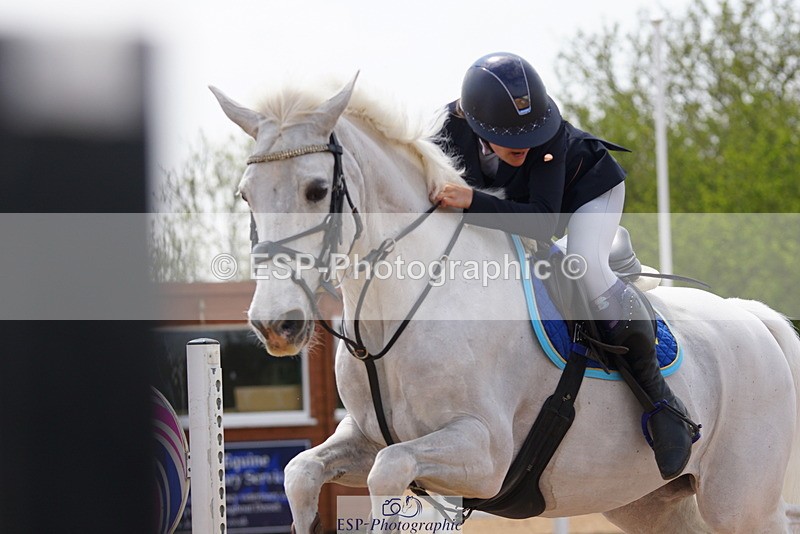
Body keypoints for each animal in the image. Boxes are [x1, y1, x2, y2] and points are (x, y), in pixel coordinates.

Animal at [210, 75, 800, 533]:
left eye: (315, 190)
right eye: (245, 194)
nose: (276, 325)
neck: (397, 312)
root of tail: (752, 316)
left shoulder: (485, 452)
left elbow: (388, 470)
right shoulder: (362, 436)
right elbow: (301, 471)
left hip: (742, 503)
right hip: (651, 502)